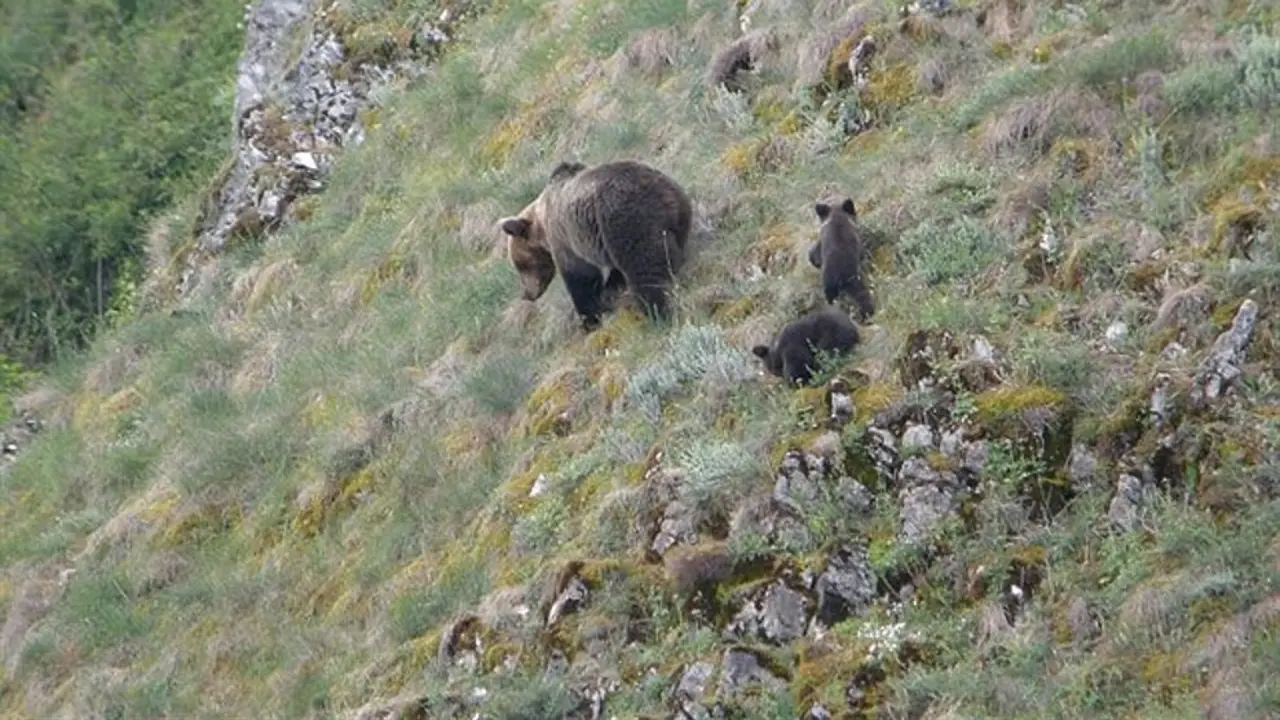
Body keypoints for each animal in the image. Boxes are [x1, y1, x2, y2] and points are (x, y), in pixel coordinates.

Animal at [499, 160, 693, 331]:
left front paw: (589, 319)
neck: (542, 227)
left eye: (520, 265)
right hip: (678, 212)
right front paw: (611, 289)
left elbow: (580, 278)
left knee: (643, 267)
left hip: (623, 219)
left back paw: (656, 313)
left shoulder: (565, 239)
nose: (528, 294)